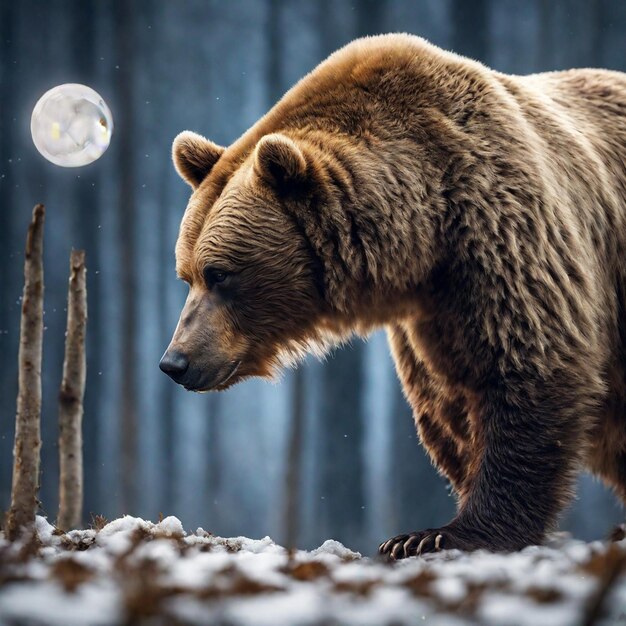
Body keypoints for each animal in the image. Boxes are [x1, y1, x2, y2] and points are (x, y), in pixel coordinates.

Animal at [158, 33, 624, 556]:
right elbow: (448, 405)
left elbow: (527, 361)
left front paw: (439, 534)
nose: (175, 361)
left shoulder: (500, 232)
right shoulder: (431, 314)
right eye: (186, 275)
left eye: (219, 274)